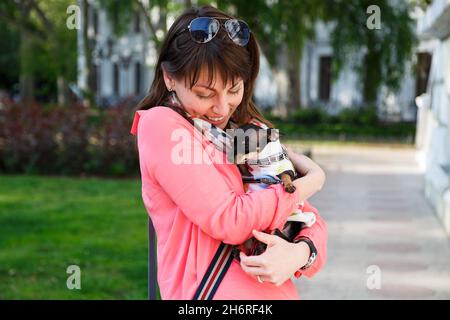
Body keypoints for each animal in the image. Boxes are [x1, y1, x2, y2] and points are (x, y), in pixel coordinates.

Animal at [232, 121, 316, 258]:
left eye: (246, 145)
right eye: (232, 141)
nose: (229, 156)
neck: (263, 161)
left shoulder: (288, 170)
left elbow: (285, 175)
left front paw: (289, 186)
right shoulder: (248, 174)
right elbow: (244, 168)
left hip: (277, 231)